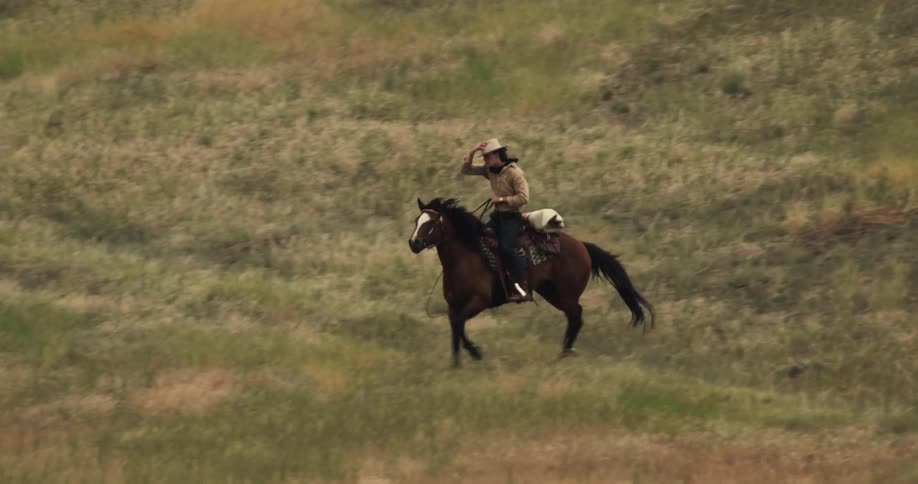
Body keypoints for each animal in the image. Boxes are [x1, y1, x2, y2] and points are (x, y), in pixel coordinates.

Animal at [408, 197, 654, 366]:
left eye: (431, 223)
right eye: (417, 221)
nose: (414, 243)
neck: (467, 255)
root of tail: (582, 246)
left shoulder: (479, 301)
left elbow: (459, 324)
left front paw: (475, 353)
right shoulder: (453, 305)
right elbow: (455, 327)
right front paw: (456, 362)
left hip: (565, 294)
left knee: (576, 315)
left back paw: (565, 352)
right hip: (551, 292)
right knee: (574, 316)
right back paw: (565, 351)